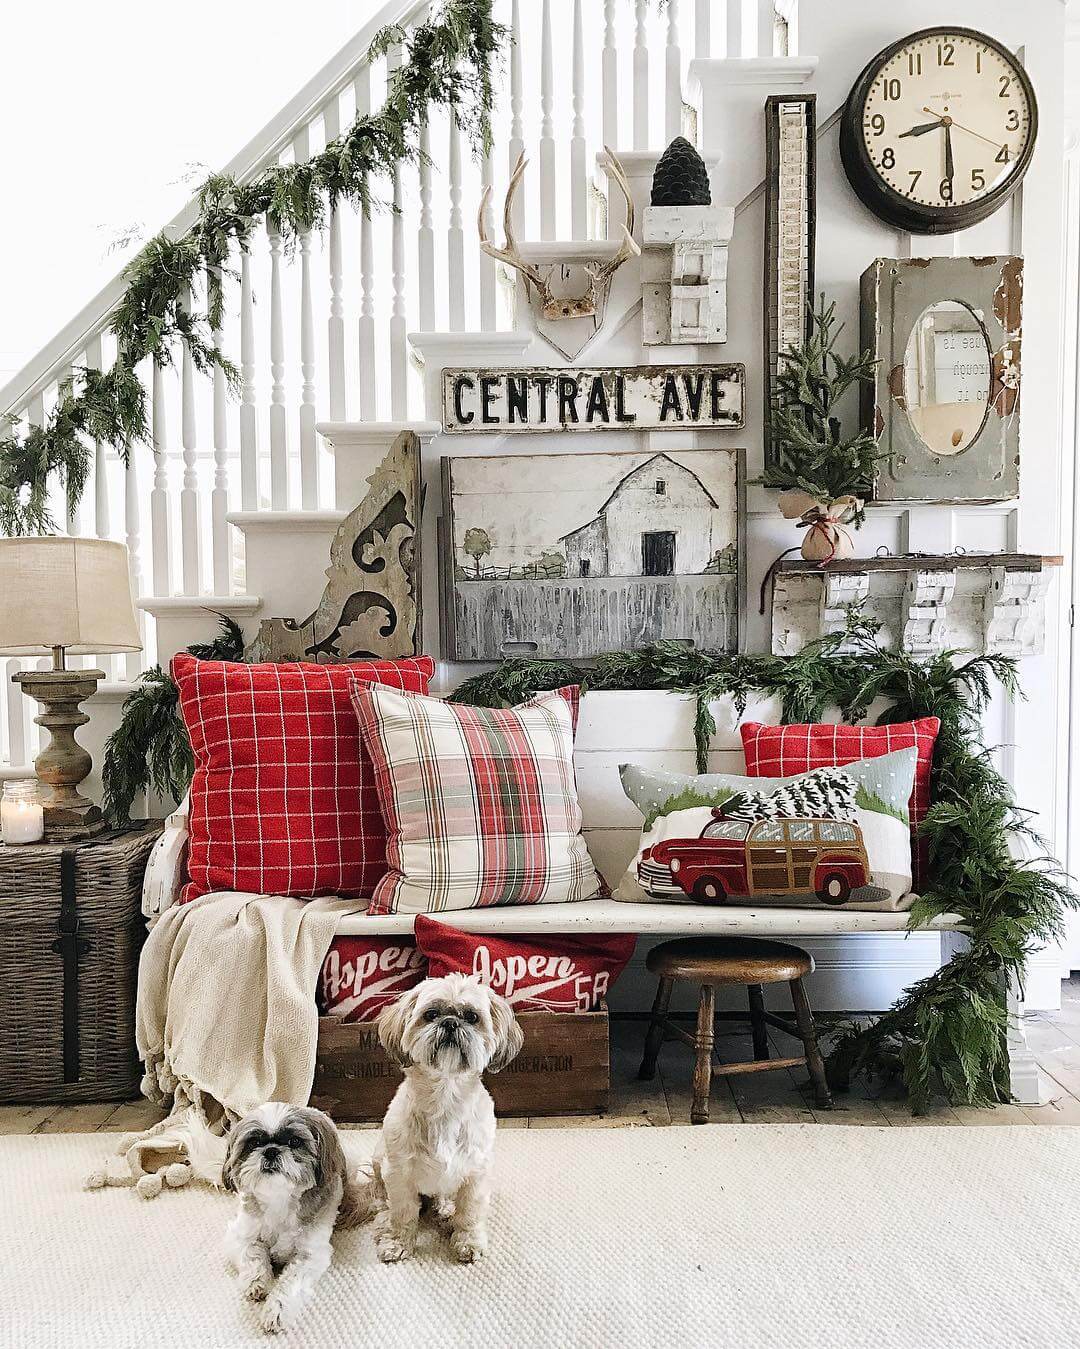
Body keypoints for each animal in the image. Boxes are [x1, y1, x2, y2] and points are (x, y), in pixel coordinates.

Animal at [221, 1100, 361, 1332]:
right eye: (254, 1142)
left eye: (295, 1141)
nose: (270, 1151)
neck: (280, 1199)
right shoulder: (241, 1236)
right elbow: (254, 1254)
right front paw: (257, 1282)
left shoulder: (310, 1255)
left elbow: (290, 1284)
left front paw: (276, 1311)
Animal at [369, 971, 525, 1262]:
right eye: (431, 1014)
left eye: (472, 1017)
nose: (451, 1022)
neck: (445, 1099)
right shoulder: (398, 1173)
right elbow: (403, 1213)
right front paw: (398, 1241)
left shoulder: (476, 1174)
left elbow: (470, 1214)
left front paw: (468, 1241)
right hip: (378, 1159)